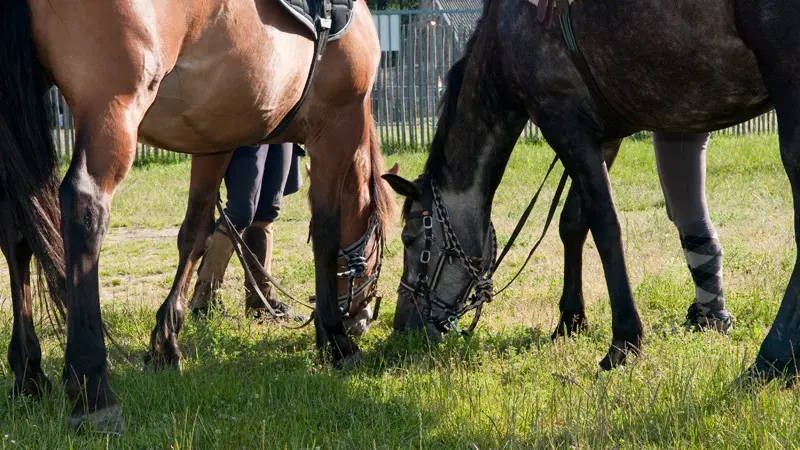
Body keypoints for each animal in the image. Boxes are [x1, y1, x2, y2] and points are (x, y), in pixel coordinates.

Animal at [0, 0, 394, 432]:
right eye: (376, 256)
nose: (362, 318)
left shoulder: (215, 141)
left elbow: (194, 232)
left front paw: (166, 342)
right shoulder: (338, 126)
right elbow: (325, 231)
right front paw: (335, 339)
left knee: (15, 231)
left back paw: (28, 373)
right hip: (113, 110)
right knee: (84, 208)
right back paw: (93, 390)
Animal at [384, 0, 796, 384]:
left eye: (409, 239)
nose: (402, 326)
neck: (504, 38)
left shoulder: (564, 123)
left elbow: (605, 226)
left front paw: (623, 342)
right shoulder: (604, 136)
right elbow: (572, 223)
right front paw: (571, 319)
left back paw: (774, 359)